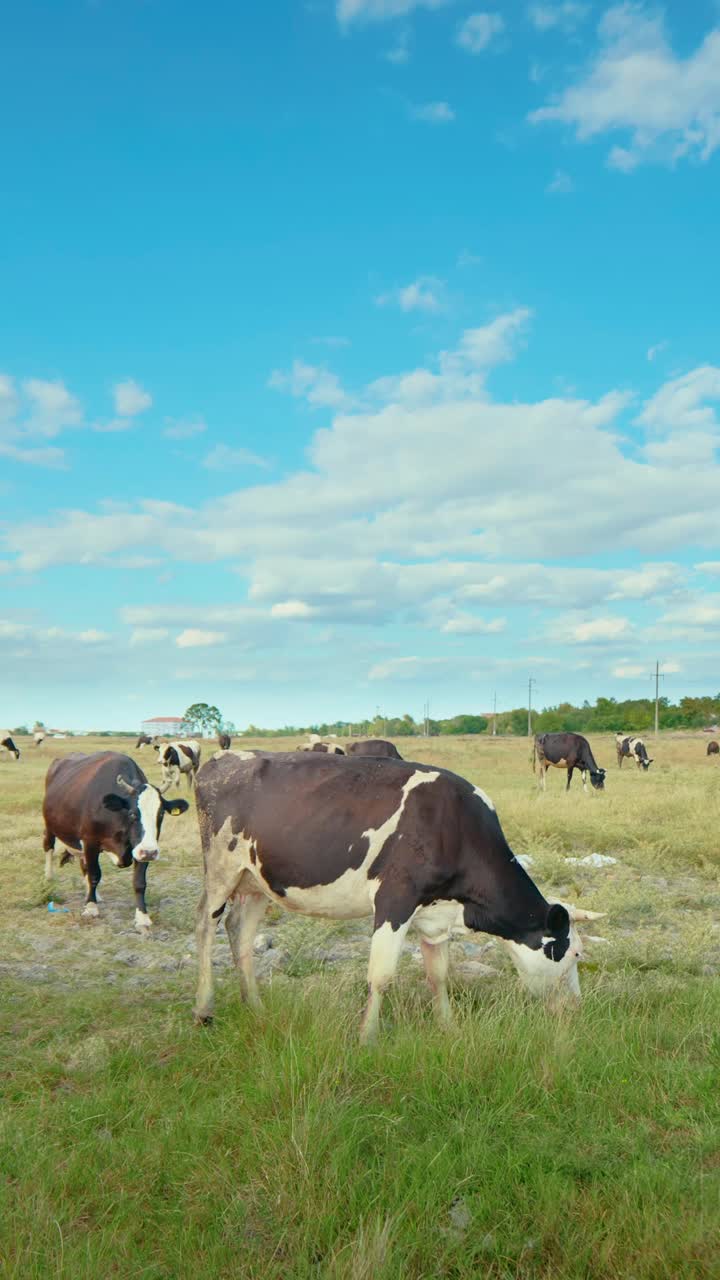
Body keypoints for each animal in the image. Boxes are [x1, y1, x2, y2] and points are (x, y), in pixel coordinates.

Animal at [42, 752, 188, 929]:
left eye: (160, 814)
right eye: (132, 813)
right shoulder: (90, 841)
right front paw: (91, 908)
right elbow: (94, 874)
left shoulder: (141, 848)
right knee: (49, 847)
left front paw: (142, 917)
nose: (150, 852)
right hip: (50, 825)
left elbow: (139, 882)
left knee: (83, 864)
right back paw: (49, 879)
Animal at [193, 751, 605, 1040]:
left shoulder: (435, 916)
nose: (577, 1007)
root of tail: (222, 759)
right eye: (576, 953)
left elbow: (439, 975)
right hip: (220, 869)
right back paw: (203, 1009)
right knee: (205, 925)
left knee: (239, 933)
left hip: (256, 880)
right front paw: (367, 1037)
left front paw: (448, 1027)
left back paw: (255, 1007)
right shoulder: (395, 899)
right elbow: (381, 975)